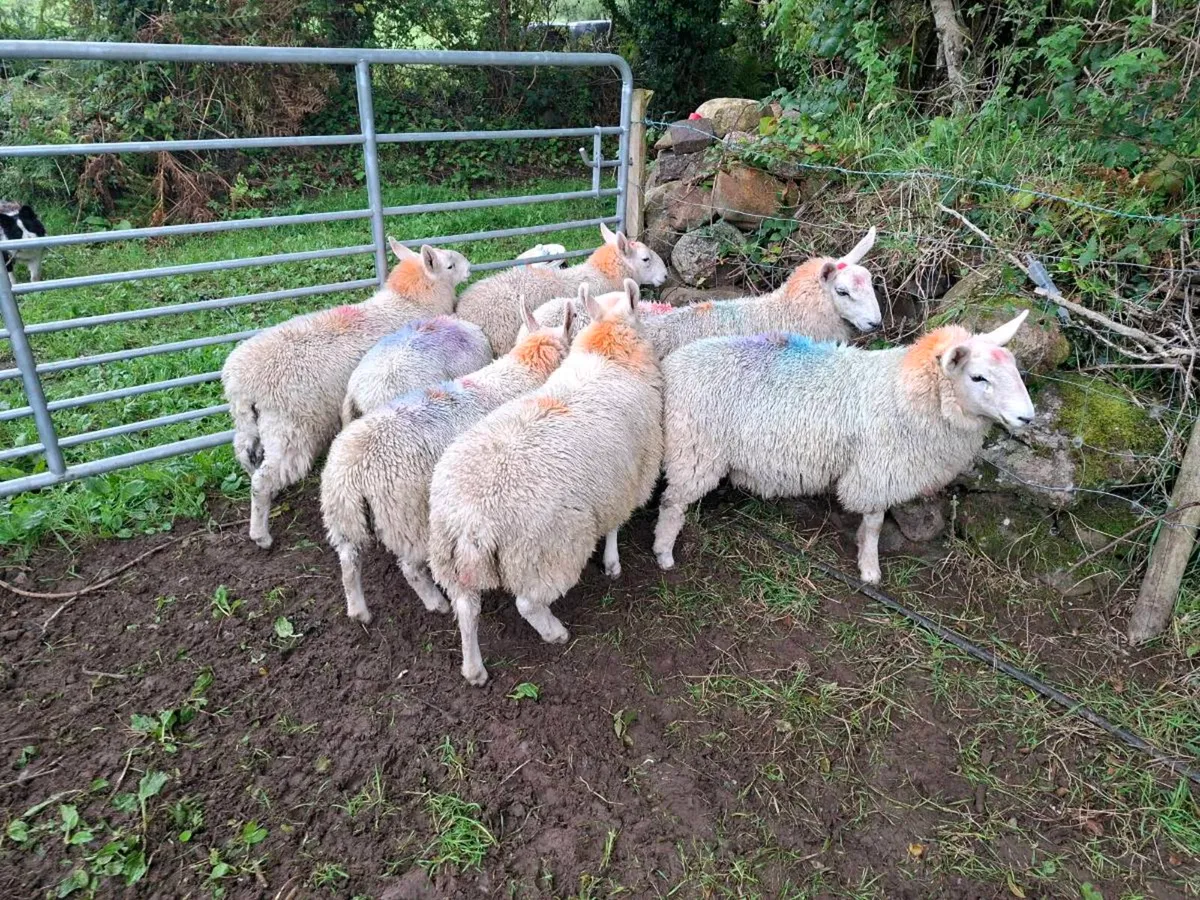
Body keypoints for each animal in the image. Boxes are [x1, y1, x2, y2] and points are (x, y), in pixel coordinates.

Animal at [222, 238, 470, 549]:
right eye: (449, 265)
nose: (469, 266)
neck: (409, 302)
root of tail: (241, 383)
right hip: (290, 428)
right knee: (264, 478)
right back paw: (261, 534)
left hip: (249, 421)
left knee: (244, 453)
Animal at [428, 278, 663, 686]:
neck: (611, 355)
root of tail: (472, 519)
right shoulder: (627, 479)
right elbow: (614, 527)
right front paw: (612, 564)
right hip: (546, 550)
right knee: (527, 602)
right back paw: (555, 631)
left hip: (450, 559)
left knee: (466, 607)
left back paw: (474, 669)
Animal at [653, 311, 1035, 584]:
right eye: (978, 377)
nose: (1028, 417)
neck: (903, 393)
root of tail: (670, 367)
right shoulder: (876, 470)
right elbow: (876, 522)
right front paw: (870, 569)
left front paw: (864, 553)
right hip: (695, 451)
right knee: (672, 503)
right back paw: (664, 553)